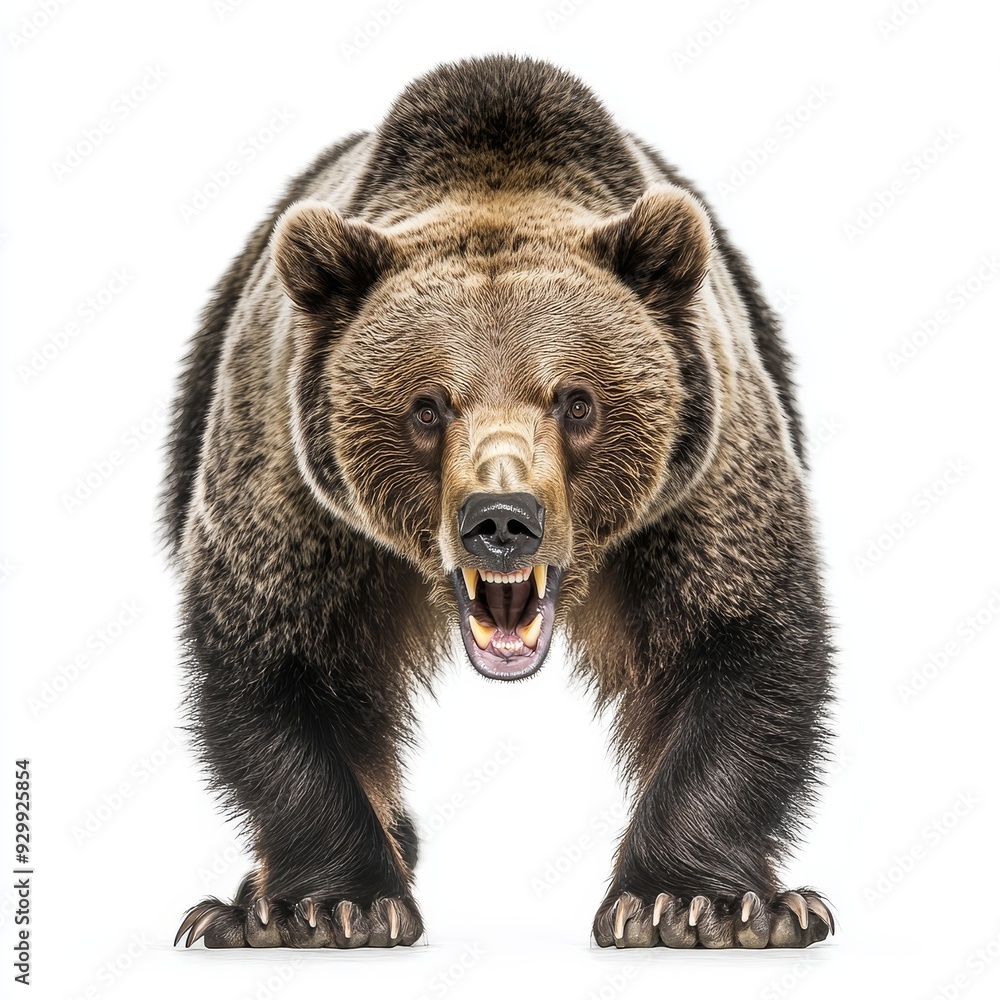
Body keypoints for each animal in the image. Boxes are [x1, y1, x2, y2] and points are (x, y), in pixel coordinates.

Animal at [166, 54, 835, 950]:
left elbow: (736, 645)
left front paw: (698, 904)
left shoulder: (696, 484)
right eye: (427, 406)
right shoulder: (296, 487)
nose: (502, 519)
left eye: (577, 401)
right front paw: (324, 905)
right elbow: (280, 663)